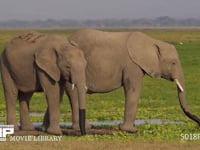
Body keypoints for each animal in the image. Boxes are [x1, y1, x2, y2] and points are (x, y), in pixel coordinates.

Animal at [65, 28, 199, 132]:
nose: (198, 121)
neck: (153, 42)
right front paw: (131, 130)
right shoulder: (132, 65)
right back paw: (83, 128)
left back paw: (85, 127)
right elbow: (133, 89)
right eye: (173, 62)